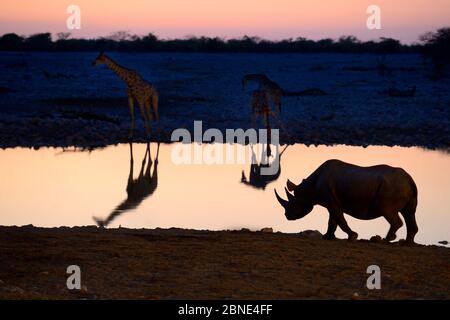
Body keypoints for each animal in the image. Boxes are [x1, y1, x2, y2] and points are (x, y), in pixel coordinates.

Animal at [274, 160, 418, 245]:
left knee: (387, 210)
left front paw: (352, 236)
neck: (309, 188)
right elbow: (332, 220)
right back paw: (406, 243)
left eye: (292, 203)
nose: (287, 216)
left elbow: (339, 219)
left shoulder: (331, 201)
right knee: (409, 213)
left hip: (392, 187)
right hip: (401, 186)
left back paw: (385, 241)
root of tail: (410, 179)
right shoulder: (331, 202)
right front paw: (327, 237)